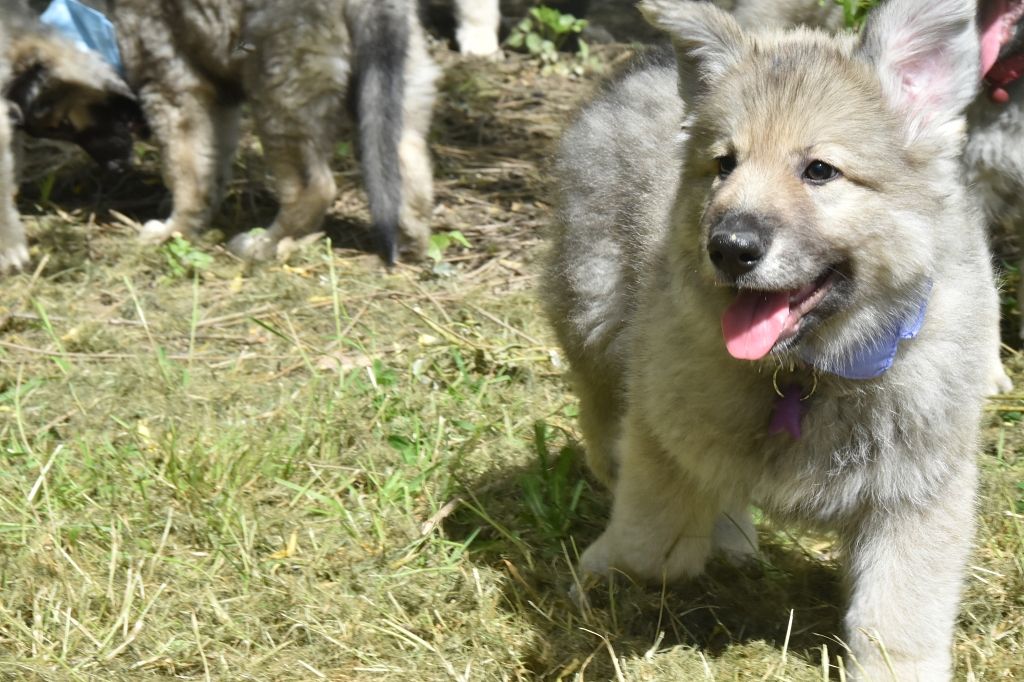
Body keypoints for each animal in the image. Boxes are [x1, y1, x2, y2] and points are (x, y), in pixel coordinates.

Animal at [109, 0, 438, 264]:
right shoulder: (217, 97)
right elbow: (212, 166)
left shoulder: (172, 87)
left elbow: (186, 172)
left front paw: (173, 231)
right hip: (393, 87)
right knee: (406, 164)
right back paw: (411, 241)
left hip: (280, 87)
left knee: (313, 188)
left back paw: (263, 245)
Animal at [544, 0, 997, 679]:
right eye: (724, 165)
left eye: (820, 171)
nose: (729, 248)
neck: (809, 372)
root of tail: (647, 65)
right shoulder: (661, 422)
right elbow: (651, 538)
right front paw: (607, 580)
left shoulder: (919, 492)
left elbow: (897, 617)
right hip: (593, 313)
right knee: (606, 419)